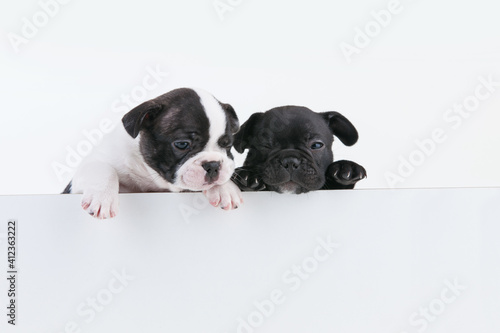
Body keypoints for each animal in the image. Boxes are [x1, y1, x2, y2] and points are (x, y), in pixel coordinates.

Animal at [63, 87, 243, 219]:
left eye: (227, 145)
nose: (213, 165)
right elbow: (103, 169)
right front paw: (103, 198)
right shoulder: (81, 177)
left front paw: (225, 189)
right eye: (182, 144)